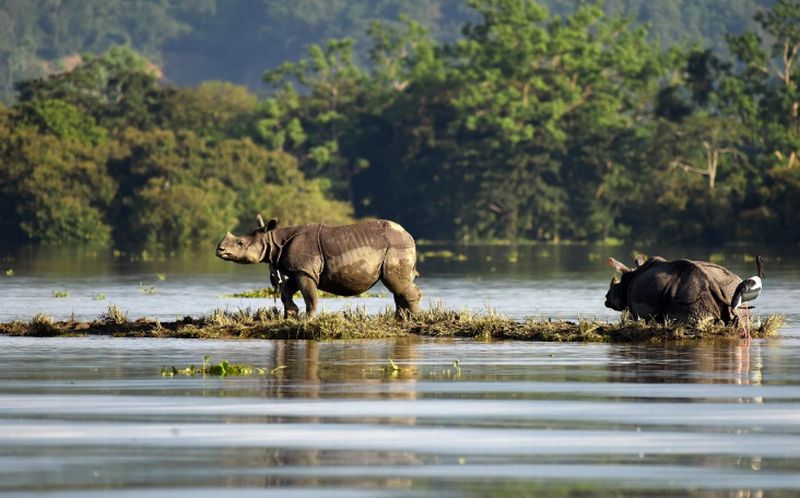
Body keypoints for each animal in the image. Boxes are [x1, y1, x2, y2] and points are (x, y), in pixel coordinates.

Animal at [216, 215, 422, 318]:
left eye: (241, 243)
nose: (219, 250)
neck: (274, 240)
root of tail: (408, 234)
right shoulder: (298, 270)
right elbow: (286, 292)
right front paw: (291, 314)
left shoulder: (305, 271)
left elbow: (310, 296)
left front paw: (308, 320)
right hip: (395, 246)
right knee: (397, 286)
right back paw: (400, 319)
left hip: (396, 246)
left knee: (396, 283)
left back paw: (412, 320)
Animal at [608, 255, 744, 324]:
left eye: (614, 287)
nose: (606, 298)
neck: (630, 278)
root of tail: (710, 280)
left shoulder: (633, 309)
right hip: (731, 289)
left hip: (688, 295)